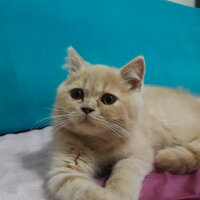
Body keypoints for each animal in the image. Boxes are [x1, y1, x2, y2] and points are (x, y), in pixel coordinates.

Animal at [45, 46, 200, 200]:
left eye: (108, 99)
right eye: (77, 94)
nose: (87, 108)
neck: (99, 141)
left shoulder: (140, 153)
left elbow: (124, 169)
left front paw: (119, 192)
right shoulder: (65, 174)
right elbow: (88, 192)